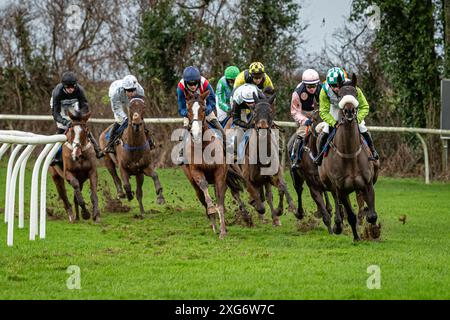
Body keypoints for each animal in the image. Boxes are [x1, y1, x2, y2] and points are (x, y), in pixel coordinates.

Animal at [181, 90, 229, 238]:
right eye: (188, 110)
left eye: (203, 109)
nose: (196, 133)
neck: (203, 146)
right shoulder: (196, 171)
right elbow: (204, 187)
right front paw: (212, 211)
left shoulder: (220, 173)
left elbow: (220, 200)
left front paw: (223, 231)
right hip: (191, 181)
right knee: (201, 195)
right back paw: (212, 222)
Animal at [288, 101, 334, 234]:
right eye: (315, 118)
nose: (323, 130)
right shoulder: (312, 184)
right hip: (295, 176)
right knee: (299, 190)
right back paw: (300, 213)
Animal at [318, 74, 378, 240]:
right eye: (339, 96)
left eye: (356, 94)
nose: (349, 110)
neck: (350, 155)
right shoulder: (341, 189)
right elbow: (350, 215)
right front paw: (356, 237)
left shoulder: (367, 184)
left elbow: (372, 215)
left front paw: (373, 232)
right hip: (330, 184)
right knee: (336, 201)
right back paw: (338, 224)